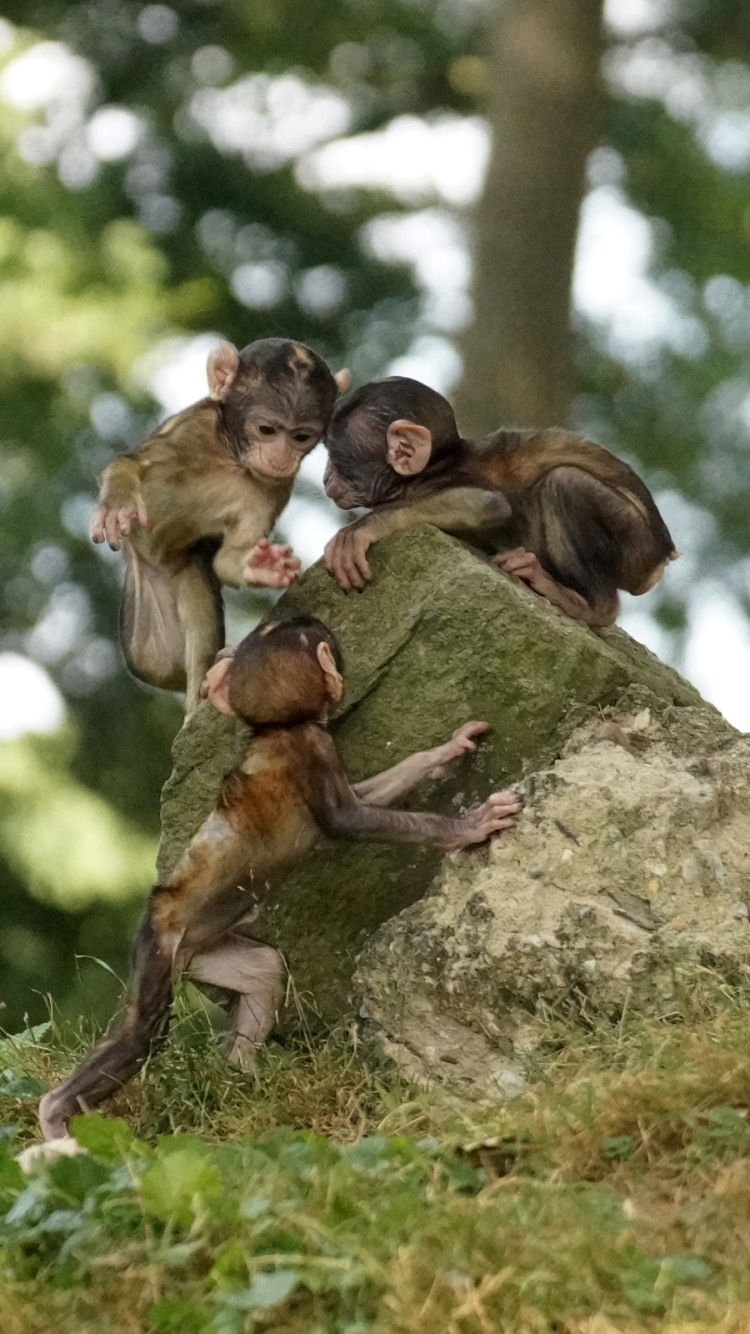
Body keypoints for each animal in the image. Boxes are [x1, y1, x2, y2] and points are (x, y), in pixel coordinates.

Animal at [38, 618, 520, 1141]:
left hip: (203, 954)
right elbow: (348, 819)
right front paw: (467, 827)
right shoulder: (310, 745)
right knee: (142, 1031)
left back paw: (242, 1079)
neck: (277, 728)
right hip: (160, 948)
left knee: (265, 968)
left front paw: (445, 750)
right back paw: (53, 1115)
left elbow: (364, 797)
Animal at [92, 338, 344, 715]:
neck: (230, 454)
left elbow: (228, 561)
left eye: (301, 436)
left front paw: (262, 565)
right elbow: (131, 464)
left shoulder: (273, 488)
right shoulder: (192, 428)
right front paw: (117, 500)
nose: (281, 458)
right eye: (267, 430)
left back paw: (206, 685)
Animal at [321, 376, 677, 624]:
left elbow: (487, 504)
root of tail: (660, 561)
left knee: (564, 482)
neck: (433, 468)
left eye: (336, 460)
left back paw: (592, 607)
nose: (325, 477)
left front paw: (363, 529)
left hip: (636, 546)